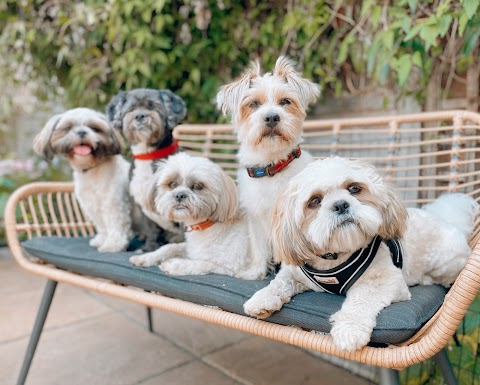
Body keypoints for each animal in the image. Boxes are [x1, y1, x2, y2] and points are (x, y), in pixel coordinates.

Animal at [33, 107, 163, 252]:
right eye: (68, 127)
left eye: (94, 128)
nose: (82, 132)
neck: (92, 169)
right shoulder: (92, 206)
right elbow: (102, 226)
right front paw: (101, 240)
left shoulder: (114, 204)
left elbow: (115, 225)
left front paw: (113, 245)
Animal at [107, 88, 188, 242]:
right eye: (131, 109)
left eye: (152, 106)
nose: (139, 115)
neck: (147, 156)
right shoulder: (144, 206)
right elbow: (152, 230)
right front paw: (150, 246)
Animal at [128, 151, 262, 280]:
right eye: (172, 184)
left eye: (198, 186)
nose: (179, 195)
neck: (206, 225)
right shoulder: (191, 248)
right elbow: (170, 247)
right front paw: (146, 257)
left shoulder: (232, 265)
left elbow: (200, 263)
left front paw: (174, 264)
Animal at [216, 56, 320, 280]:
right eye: (253, 104)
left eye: (285, 102)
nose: (272, 117)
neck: (272, 167)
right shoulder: (254, 218)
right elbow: (259, 247)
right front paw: (255, 272)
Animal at [246, 156, 478, 352]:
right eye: (314, 201)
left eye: (354, 188)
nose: (341, 204)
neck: (336, 256)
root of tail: (448, 220)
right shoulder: (297, 273)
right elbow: (280, 282)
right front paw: (261, 299)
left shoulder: (387, 281)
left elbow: (361, 301)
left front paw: (349, 330)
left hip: (446, 262)